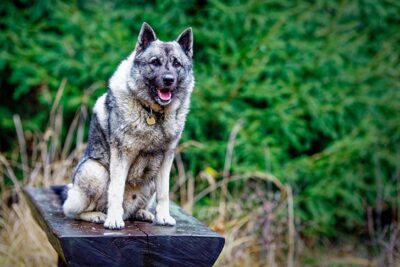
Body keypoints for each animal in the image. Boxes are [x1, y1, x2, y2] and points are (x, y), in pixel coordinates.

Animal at [62, 22, 194, 230]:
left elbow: (164, 193)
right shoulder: (122, 155)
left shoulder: (166, 159)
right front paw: (114, 220)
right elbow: (116, 191)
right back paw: (98, 215)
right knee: (72, 212)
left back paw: (143, 213)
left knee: (136, 208)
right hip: (95, 172)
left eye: (176, 64)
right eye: (155, 62)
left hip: (149, 181)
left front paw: (163, 217)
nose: (168, 79)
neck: (152, 113)